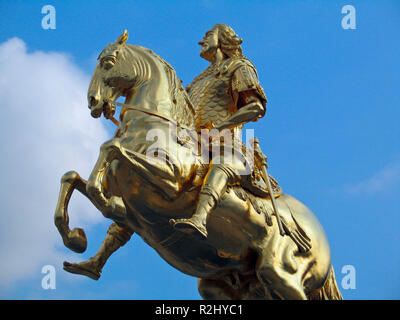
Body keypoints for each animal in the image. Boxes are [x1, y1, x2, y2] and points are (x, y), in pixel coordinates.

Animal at [53, 30, 342, 300]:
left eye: (108, 62)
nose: (93, 101)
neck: (152, 128)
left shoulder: (171, 179)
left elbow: (110, 149)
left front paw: (106, 201)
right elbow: (72, 177)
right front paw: (75, 238)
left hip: (280, 275)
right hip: (228, 285)